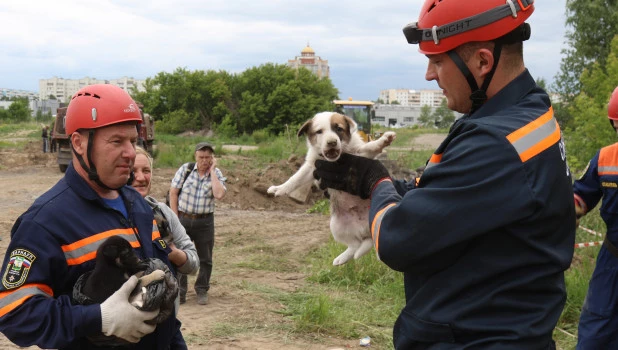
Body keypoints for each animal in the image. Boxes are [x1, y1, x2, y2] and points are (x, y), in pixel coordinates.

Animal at [266, 112, 392, 266]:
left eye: (338, 129)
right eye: (319, 131)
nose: (332, 142)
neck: (334, 161)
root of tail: (366, 231)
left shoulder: (359, 155)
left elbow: (368, 147)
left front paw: (382, 141)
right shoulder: (312, 167)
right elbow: (295, 179)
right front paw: (279, 188)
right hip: (336, 226)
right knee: (355, 244)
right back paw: (341, 259)